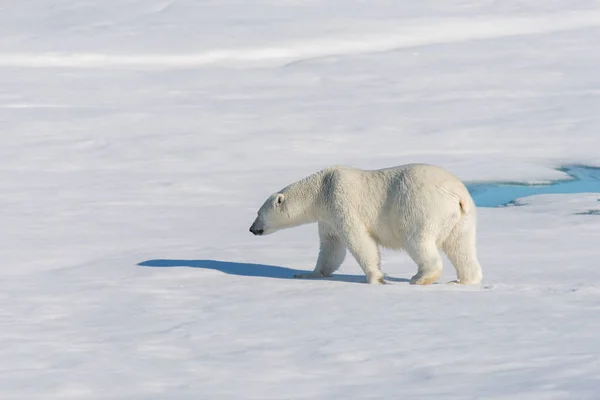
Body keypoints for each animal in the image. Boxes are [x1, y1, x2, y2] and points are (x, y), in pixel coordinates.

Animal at [248, 162, 482, 284]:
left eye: (259, 213)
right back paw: (464, 280)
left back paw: (420, 277)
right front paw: (307, 273)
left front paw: (374, 278)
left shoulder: (341, 202)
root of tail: (457, 194)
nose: (252, 229)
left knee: (418, 241)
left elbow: (359, 240)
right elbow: (331, 248)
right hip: (462, 218)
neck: (321, 189)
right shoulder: (327, 218)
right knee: (461, 246)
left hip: (420, 208)